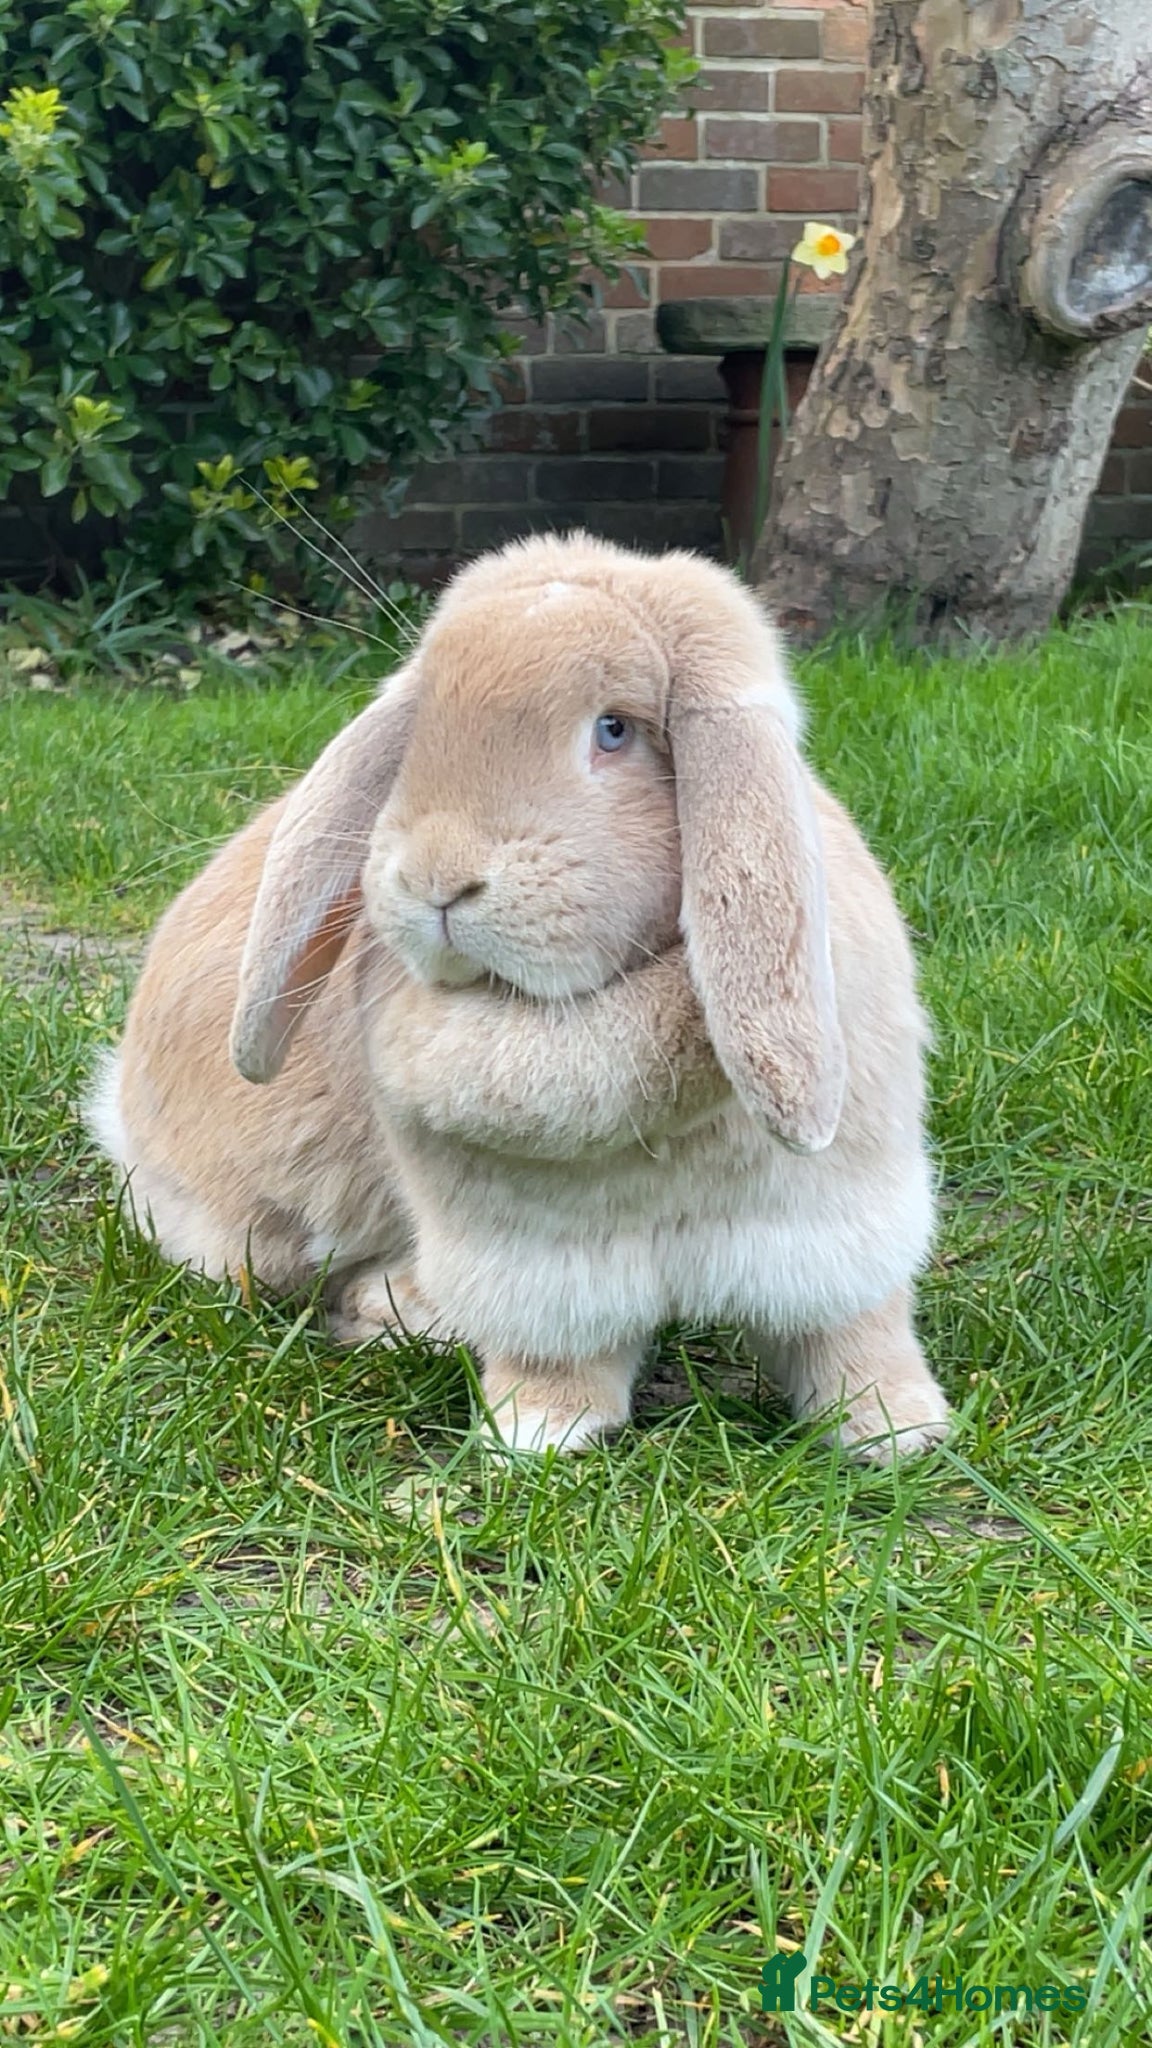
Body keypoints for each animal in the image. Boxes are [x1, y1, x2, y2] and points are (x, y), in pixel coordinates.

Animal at [90, 532, 949, 1461]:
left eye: (615, 729)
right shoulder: (537, 1268)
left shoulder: (831, 1229)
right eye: (422, 729)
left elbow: (852, 1333)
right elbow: (559, 1357)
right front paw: (539, 1434)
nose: (437, 879)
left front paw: (897, 1429)